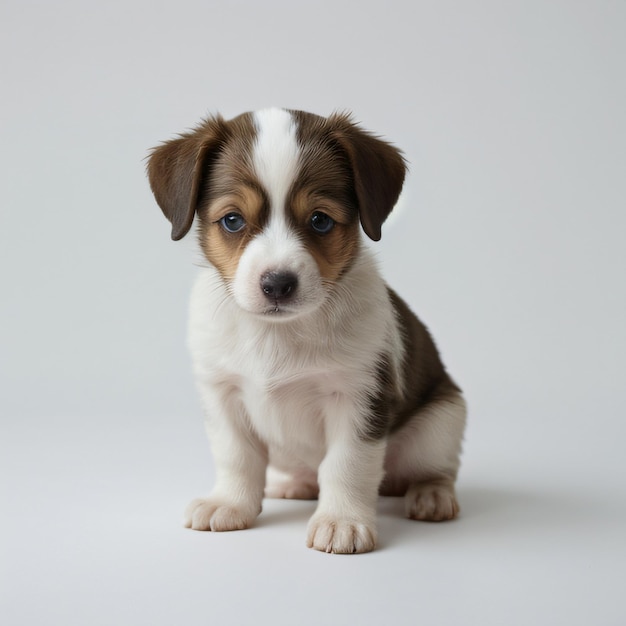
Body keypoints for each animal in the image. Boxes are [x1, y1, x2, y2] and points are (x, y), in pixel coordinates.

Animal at [149, 107, 466, 552]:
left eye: (319, 221)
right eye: (232, 220)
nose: (278, 284)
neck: (276, 333)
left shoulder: (359, 397)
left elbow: (346, 464)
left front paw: (342, 520)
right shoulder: (222, 393)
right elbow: (236, 456)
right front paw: (230, 503)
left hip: (442, 421)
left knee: (434, 469)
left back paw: (431, 495)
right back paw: (294, 483)